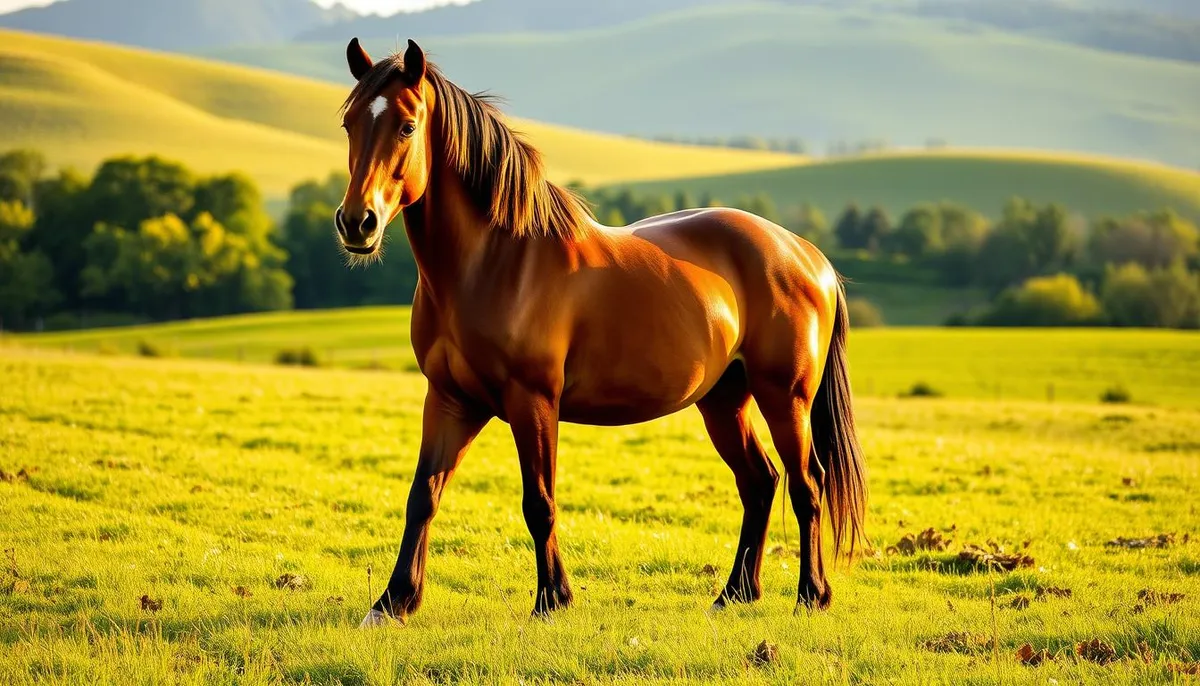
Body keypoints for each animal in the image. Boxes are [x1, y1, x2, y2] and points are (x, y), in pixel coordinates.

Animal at [335, 38, 868, 627]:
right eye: (349, 123)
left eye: (407, 126)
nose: (357, 222)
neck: (495, 260)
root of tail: (809, 256)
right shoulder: (450, 399)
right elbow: (423, 495)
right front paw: (393, 602)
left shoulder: (533, 401)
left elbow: (539, 502)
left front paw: (552, 599)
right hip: (725, 399)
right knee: (760, 482)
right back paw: (734, 593)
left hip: (786, 398)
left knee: (807, 484)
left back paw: (811, 595)